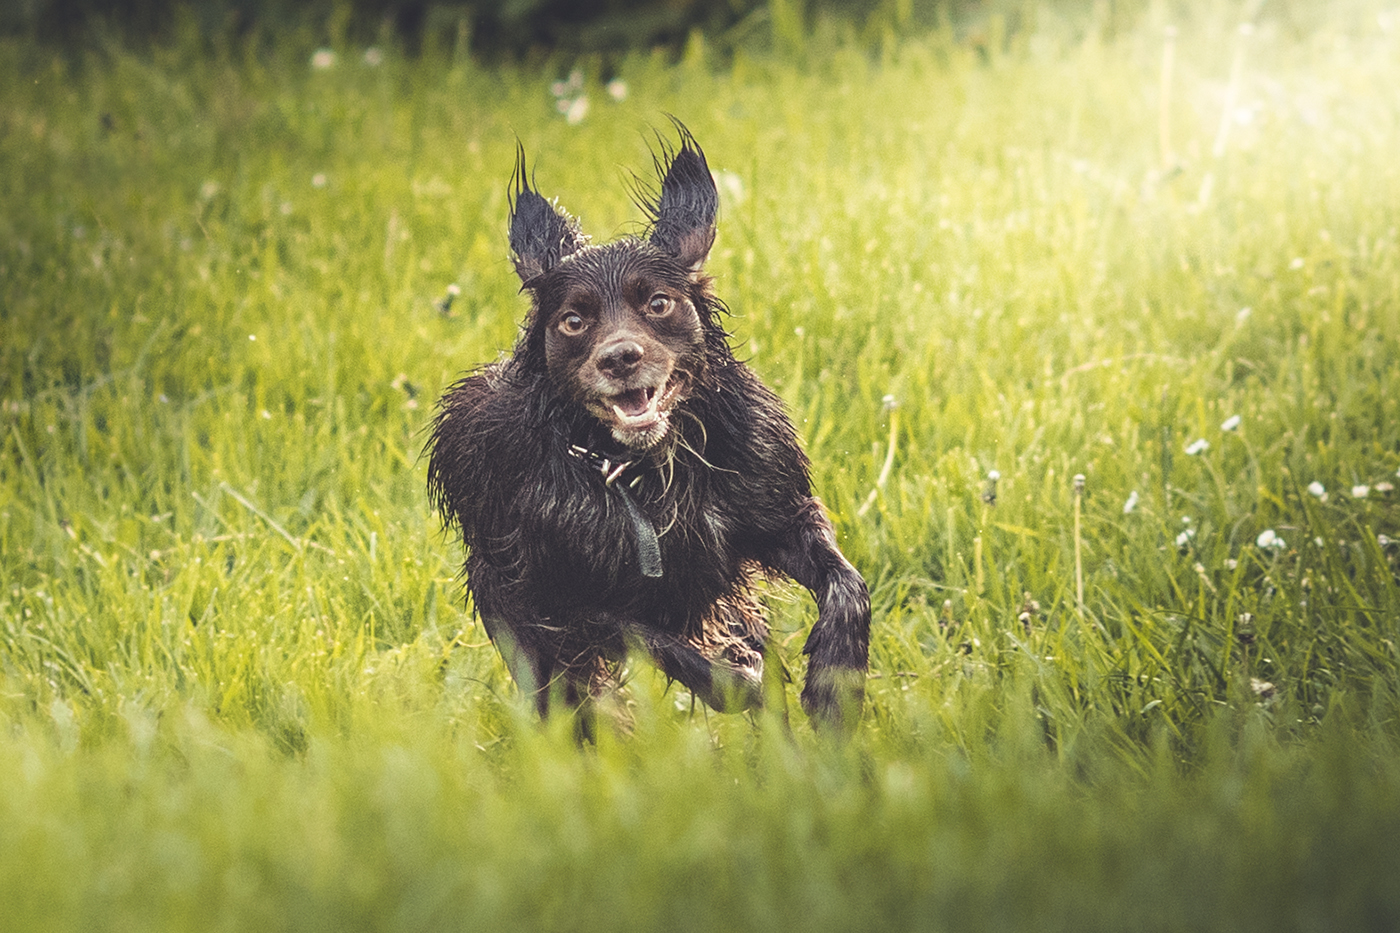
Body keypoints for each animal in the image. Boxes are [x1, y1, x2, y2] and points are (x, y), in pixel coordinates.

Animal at [427, 123, 870, 732]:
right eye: (573, 320)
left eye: (658, 303)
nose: (620, 358)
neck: (649, 469)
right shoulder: (562, 600)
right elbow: (663, 644)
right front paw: (741, 684)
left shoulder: (778, 512)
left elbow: (847, 585)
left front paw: (834, 677)